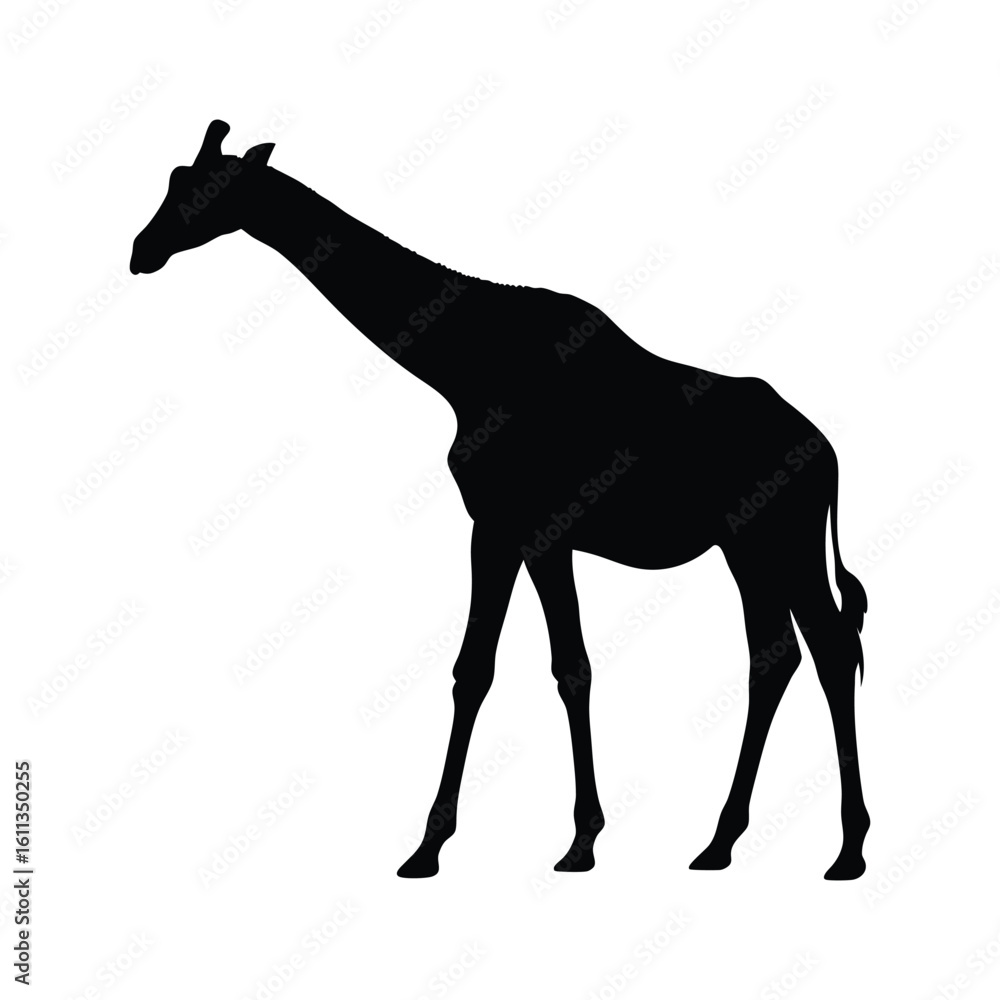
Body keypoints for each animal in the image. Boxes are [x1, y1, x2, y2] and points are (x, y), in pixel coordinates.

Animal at [130, 120, 871, 880]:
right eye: (174, 178)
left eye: (208, 189)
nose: (140, 251)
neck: (460, 366)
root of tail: (828, 455)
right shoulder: (496, 526)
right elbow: (473, 670)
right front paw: (428, 846)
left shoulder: (542, 528)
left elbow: (570, 668)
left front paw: (581, 841)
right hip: (747, 546)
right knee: (777, 656)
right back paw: (721, 841)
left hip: (780, 539)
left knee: (831, 648)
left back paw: (847, 848)